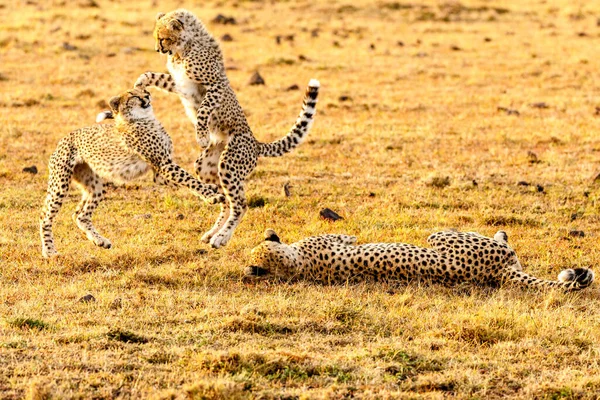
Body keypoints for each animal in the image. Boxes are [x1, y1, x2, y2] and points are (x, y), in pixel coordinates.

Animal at [39, 87, 223, 258]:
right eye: (133, 95)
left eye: (144, 90)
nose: (147, 96)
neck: (144, 118)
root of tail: (64, 138)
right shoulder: (164, 164)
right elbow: (191, 180)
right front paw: (212, 195)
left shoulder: (160, 172)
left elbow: (190, 180)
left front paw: (211, 188)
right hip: (60, 185)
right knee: (44, 216)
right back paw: (49, 251)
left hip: (94, 186)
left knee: (80, 215)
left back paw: (100, 241)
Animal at [131, 8, 318, 247]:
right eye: (156, 38)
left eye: (162, 38)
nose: (158, 49)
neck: (185, 47)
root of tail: (255, 143)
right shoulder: (180, 84)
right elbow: (155, 76)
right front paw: (139, 84)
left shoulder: (214, 86)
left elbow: (203, 110)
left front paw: (201, 136)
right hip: (206, 166)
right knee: (226, 201)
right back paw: (212, 233)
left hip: (230, 164)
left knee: (240, 205)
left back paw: (221, 238)